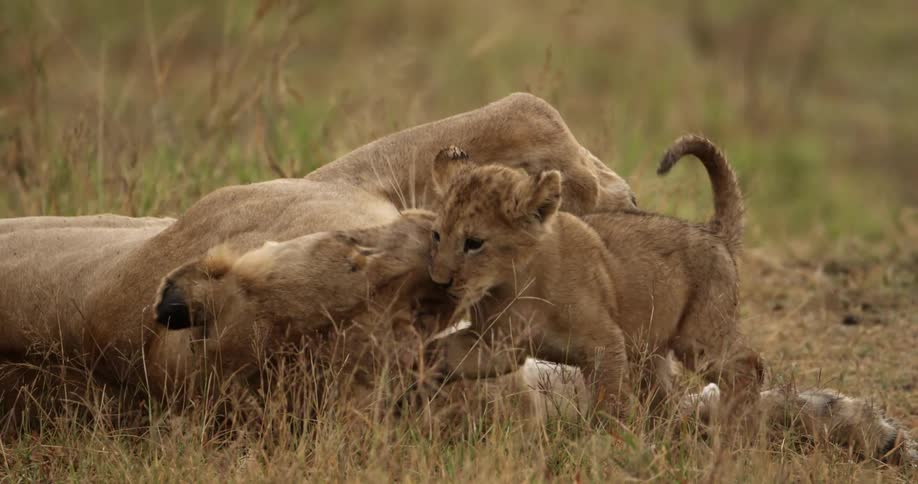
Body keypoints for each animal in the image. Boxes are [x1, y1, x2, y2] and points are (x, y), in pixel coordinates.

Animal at [425, 137, 763, 416]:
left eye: (474, 243)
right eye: (437, 235)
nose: (438, 282)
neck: (511, 287)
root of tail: (714, 232)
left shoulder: (605, 344)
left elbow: (608, 404)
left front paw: (608, 446)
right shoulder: (496, 346)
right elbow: (446, 352)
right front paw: (417, 366)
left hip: (699, 337)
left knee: (749, 365)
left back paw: (736, 422)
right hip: (648, 353)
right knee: (664, 397)